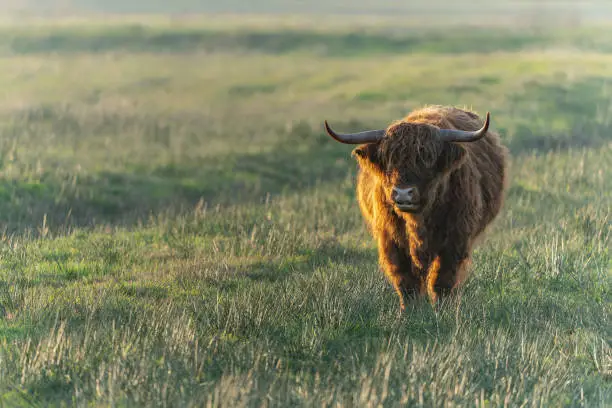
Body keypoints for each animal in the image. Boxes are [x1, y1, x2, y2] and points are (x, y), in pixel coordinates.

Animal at [326, 105, 506, 310]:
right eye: (389, 160)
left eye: (427, 159)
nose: (403, 194)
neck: (418, 222)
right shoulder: (391, 239)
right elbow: (405, 279)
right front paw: (408, 311)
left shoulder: (456, 238)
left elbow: (443, 278)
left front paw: (441, 308)